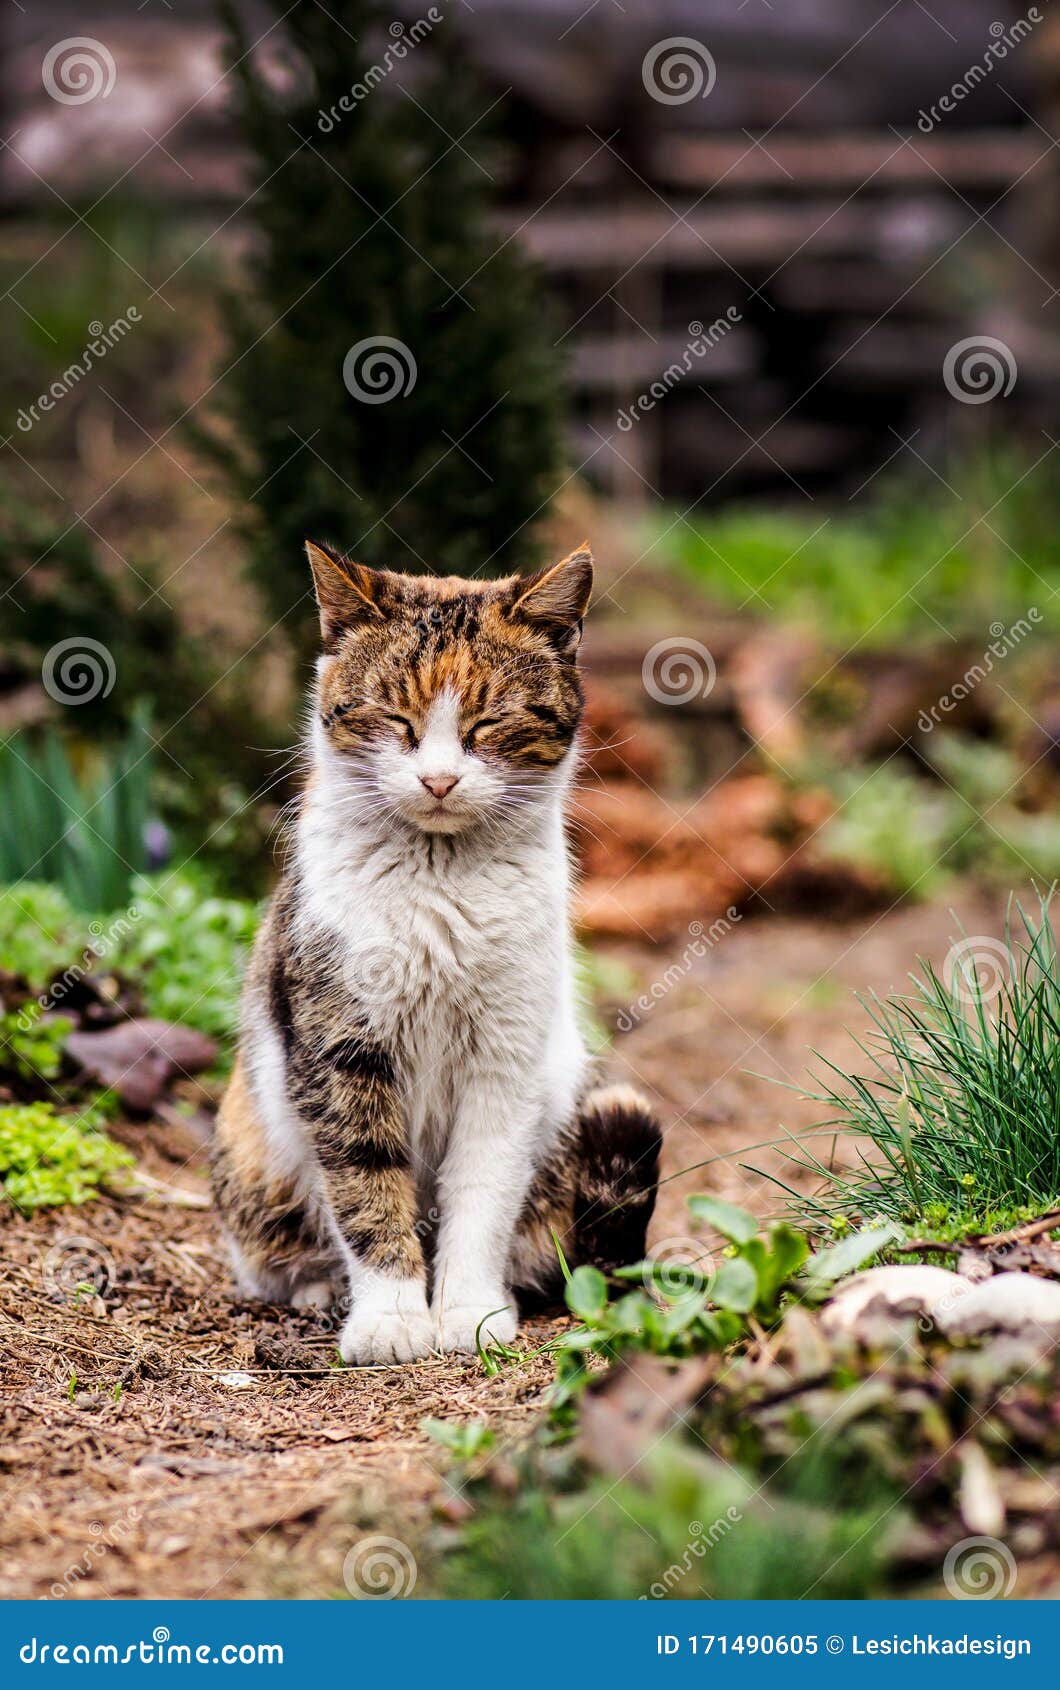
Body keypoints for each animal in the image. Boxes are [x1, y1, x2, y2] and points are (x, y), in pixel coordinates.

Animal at [210, 540, 659, 1358]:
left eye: (491, 720)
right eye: (396, 716)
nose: (440, 779)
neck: (439, 880)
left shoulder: (506, 1058)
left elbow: (481, 1191)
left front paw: (469, 1313)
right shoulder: (340, 1047)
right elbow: (366, 1185)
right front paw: (390, 1320)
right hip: (251, 1146)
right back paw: (319, 1289)